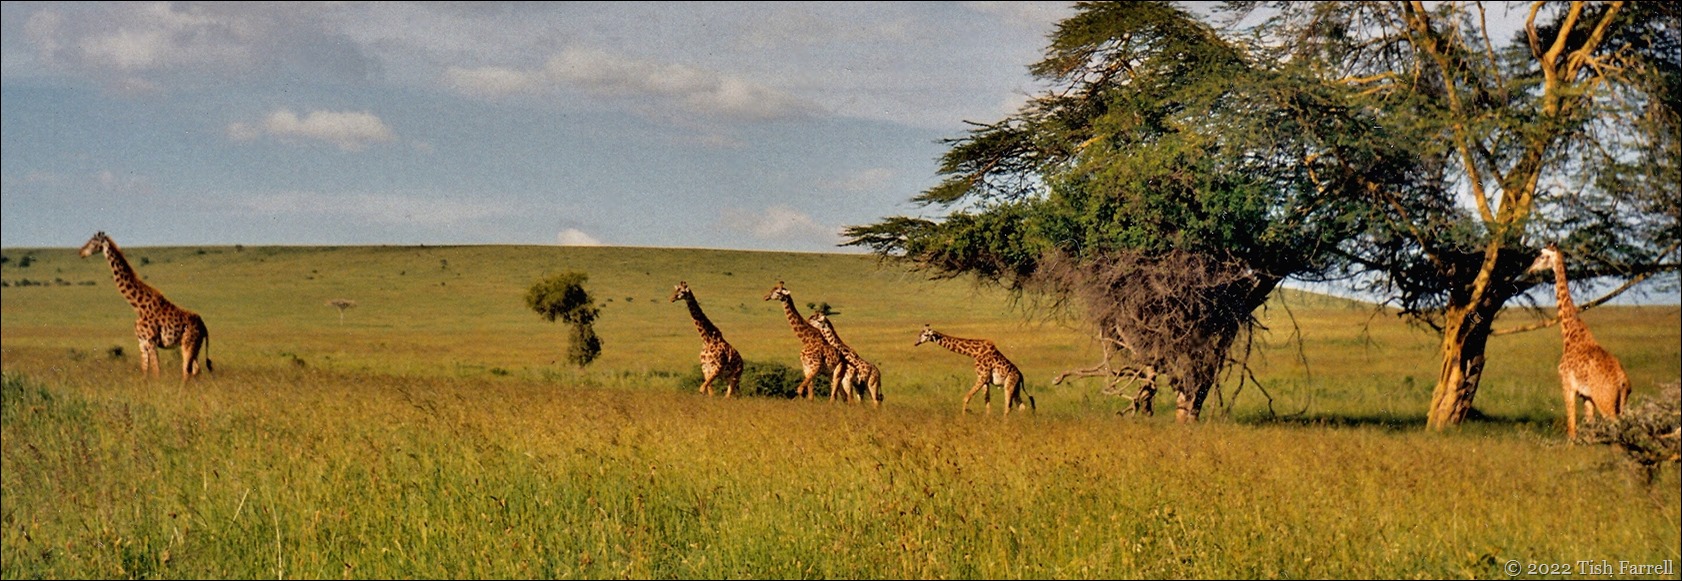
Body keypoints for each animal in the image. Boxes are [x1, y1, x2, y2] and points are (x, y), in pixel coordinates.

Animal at [78, 231, 213, 382]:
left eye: (93, 242)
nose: (81, 252)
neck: (137, 306)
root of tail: (204, 326)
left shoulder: (151, 341)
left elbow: (156, 371)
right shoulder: (142, 342)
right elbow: (144, 371)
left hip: (188, 343)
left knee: (187, 370)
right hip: (196, 345)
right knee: (196, 369)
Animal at [1529, 243, 1631, 439]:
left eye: (1542, 256)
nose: (1530, 269)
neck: (1570, 333)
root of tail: (1623, 382)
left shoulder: (1567, 385)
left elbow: (1571, 429)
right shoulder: (1587, 396)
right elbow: (1588, 426)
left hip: (1606, 402)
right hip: (1621, 404)